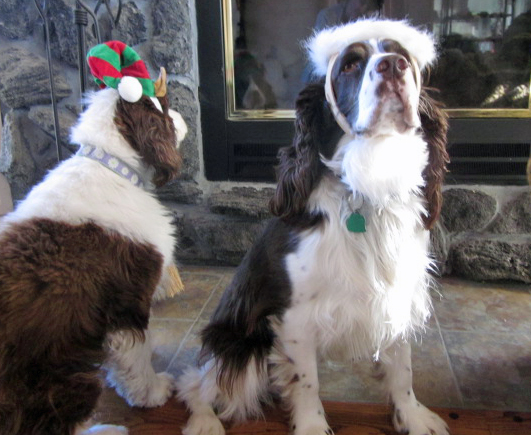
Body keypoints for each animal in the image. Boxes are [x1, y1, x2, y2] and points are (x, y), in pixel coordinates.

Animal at [0, 66, 187, 434]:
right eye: (163, 106)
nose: (183, 117)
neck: (112, 165)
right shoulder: (127, 303)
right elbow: (137, 356)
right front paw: (153, 392)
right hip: (58, 381)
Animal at [178, 18, 448, 435]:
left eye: (402, 55)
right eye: (350, 65)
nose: (393, 66)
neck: (367, 190)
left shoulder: (397, 297)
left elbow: (402, 368)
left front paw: (414, 416)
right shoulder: (294, 318)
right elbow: (307, 383)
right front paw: (311, 425)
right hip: (242, 348)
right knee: (198, 382)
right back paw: (205, 422)